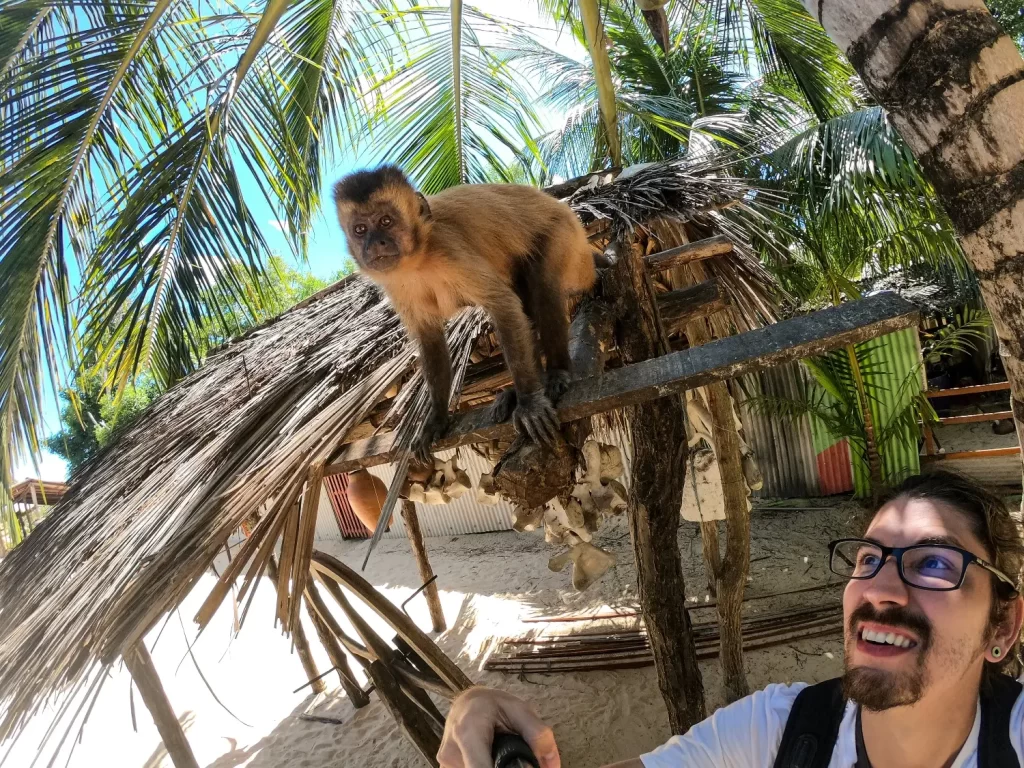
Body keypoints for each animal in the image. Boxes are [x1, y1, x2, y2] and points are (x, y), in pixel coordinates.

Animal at [331, 165, 598, 460]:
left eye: (386, 221)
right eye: (360, 229)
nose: (375, 243)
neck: (418, 259)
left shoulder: (448, 251)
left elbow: (502, 303)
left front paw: (530, 403)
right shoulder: (396, 286)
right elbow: (430, 340)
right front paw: (436, 419)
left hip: (564, 231)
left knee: (543, 286)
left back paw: (556, 373)